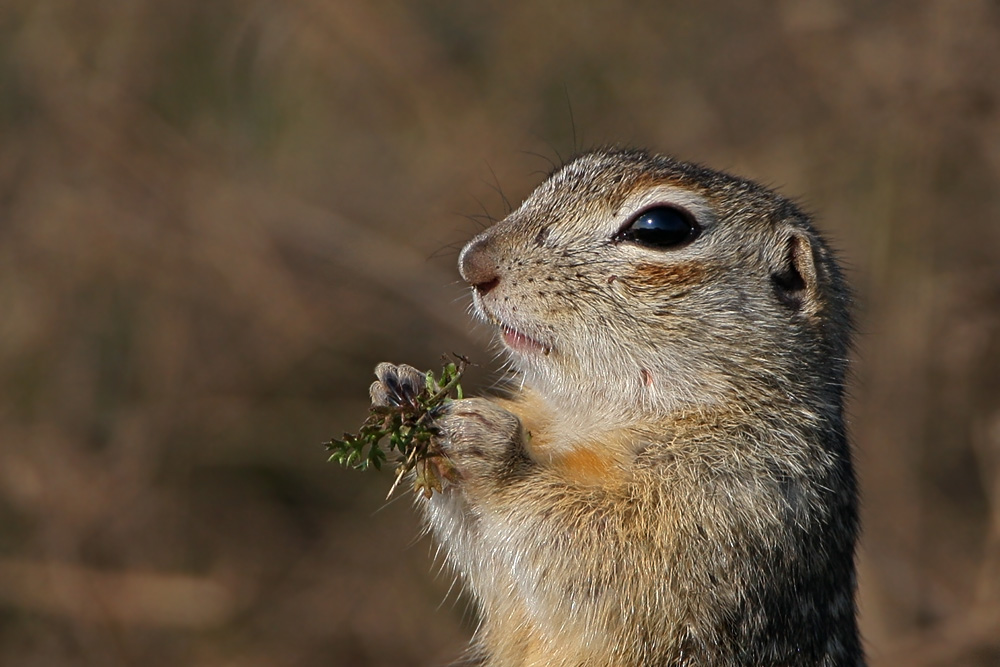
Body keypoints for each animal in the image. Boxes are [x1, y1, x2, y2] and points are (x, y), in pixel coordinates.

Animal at [372, 149, 864, 664]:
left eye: (661, 228)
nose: (473, 263)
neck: (590, 415)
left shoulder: (737, 501)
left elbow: (607, 558)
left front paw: (496, 455)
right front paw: (399, 388)